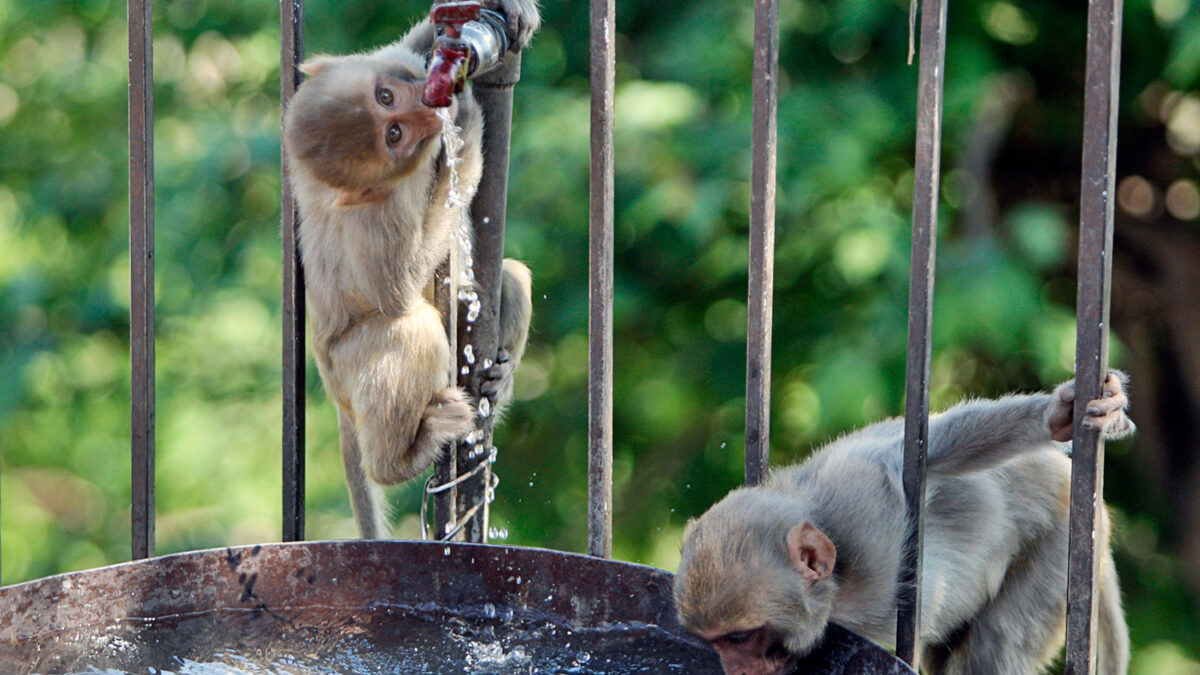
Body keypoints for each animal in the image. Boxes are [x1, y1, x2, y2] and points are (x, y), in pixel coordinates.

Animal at [280, 0, 540, 535]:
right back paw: (402, 460)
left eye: (385, 95)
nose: (427, 105)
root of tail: (337, 401)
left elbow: (411, 47)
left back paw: (498, 381)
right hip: (350, 372)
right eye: (394, 133)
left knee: (509, 275)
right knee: (407, 328)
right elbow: (396, 291)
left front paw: (508, 13)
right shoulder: (374, 219)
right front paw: (466, 131)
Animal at [676, 369, 1132, 672]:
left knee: (996, 646)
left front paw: (1057, 415)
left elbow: (923, 455)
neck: (838, 583)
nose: (735, 670)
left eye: (740, 637)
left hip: (1056, 545)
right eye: (715, 642)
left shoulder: (863, 499)